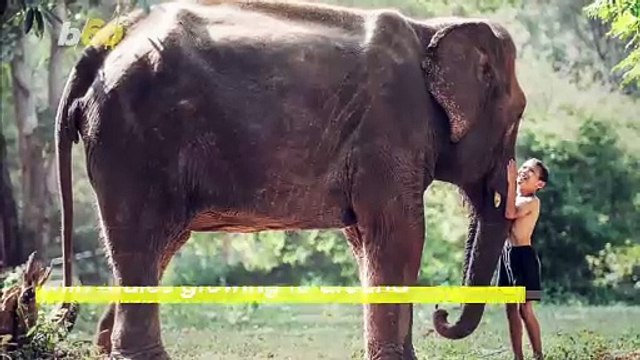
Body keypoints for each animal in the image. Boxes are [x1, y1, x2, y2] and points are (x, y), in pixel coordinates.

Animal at [53, 1, 524, 358]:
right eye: (518, 115)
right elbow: (399, 234)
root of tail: (101, 46)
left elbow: (366, 240)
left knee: (156, 245)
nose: (441, 315)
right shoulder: (390, 127)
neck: (432, 28)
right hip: (134, 141)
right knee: (142, 238)